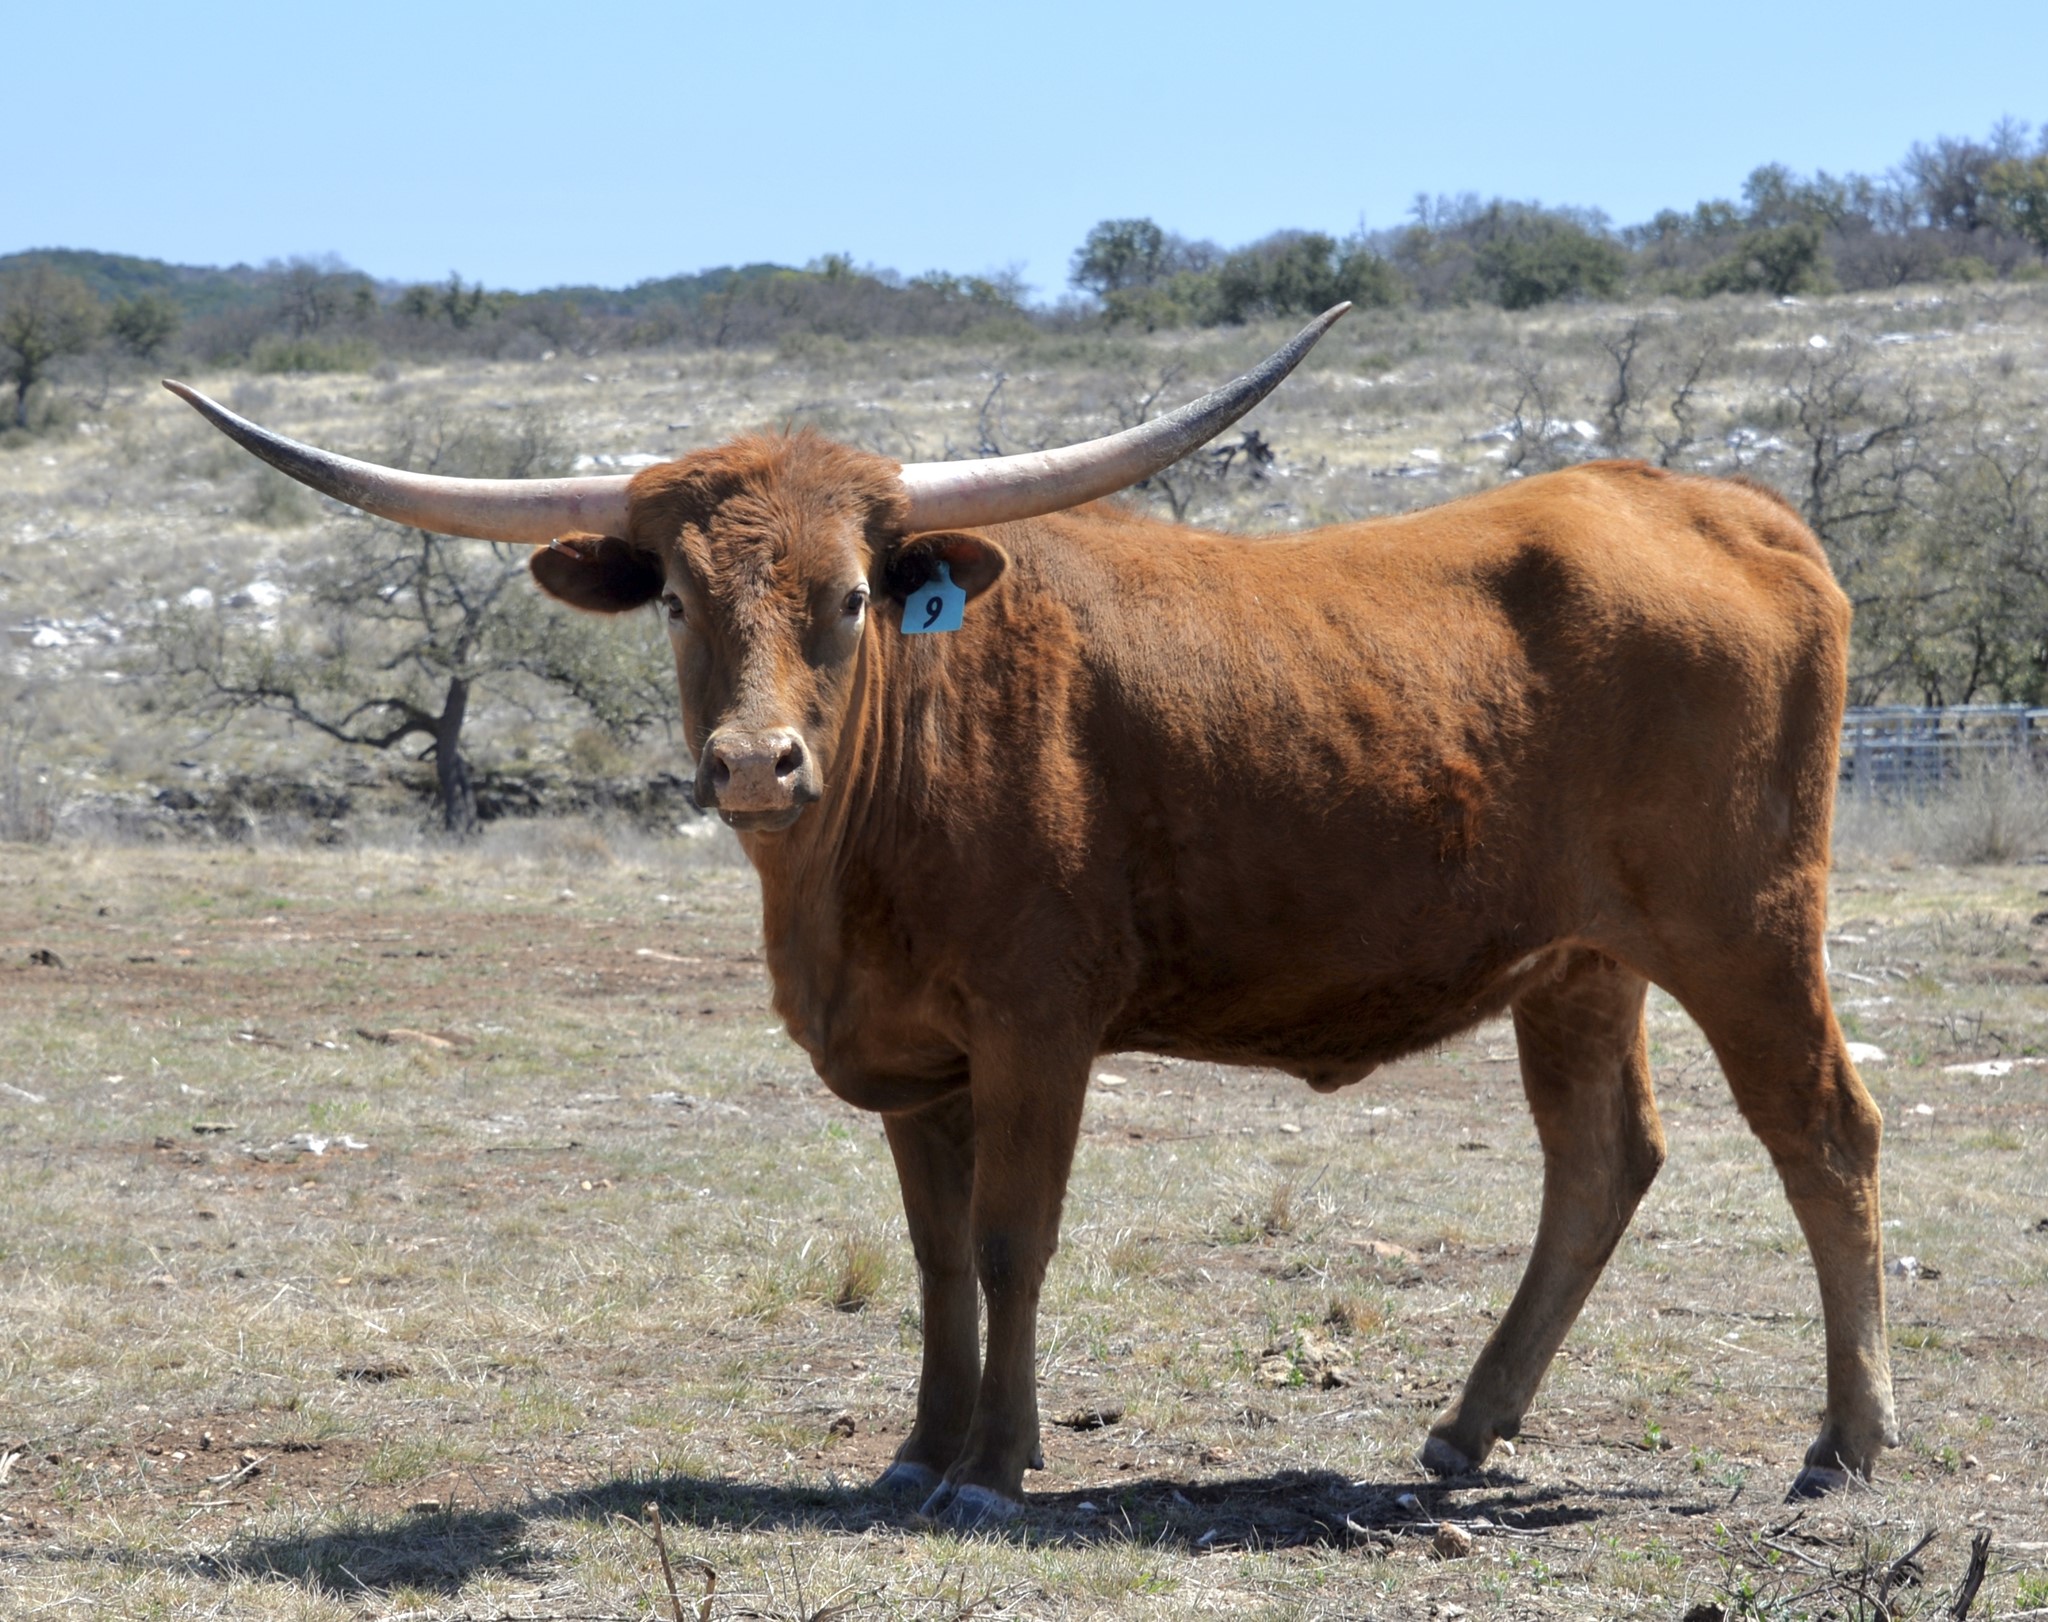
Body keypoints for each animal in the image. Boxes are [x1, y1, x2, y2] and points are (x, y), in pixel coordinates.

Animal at [167, 308, 1897, 1527]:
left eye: (851, 596)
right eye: (678, 597)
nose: (752, 761)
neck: (863, 842)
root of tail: (1725, 508)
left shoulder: (1037, 1028)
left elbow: (1013, 1237)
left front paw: (998, 1463)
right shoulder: (916, 1059)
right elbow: (934, 1252)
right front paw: (917, 1449)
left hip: (1746, 928)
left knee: (1825, 1134)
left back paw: (1846, 1442)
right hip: (1580, 960)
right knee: (1600, 1157)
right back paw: (1470, 1428)